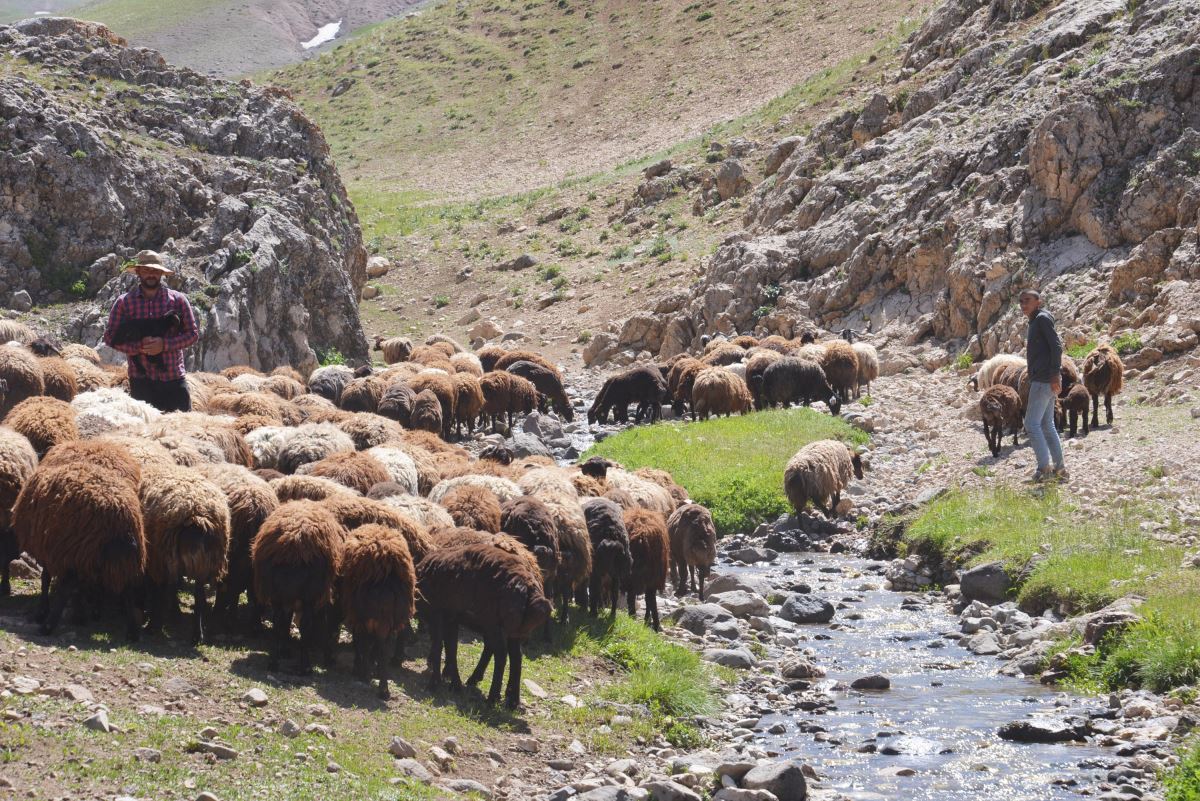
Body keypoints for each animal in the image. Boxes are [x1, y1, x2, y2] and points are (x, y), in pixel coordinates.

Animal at [338, 522, 417, 695]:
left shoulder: (357, 616)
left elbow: (361, 642)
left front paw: (359, 668)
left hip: (366, 616)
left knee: (370, 643)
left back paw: (368, 676)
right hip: (392, 619)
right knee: (383, 646)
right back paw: (383, 687)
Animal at [417, 537, 552, 705]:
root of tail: (529, 589)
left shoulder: (438, 613)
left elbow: (439, 646)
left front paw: (436, 682)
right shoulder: (451, 618)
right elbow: (451, 647)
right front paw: (452, 681)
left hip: (495, 624)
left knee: (501, 655)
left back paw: (492, 698)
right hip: (513, 629)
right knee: (516, 657)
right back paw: (512, 700)